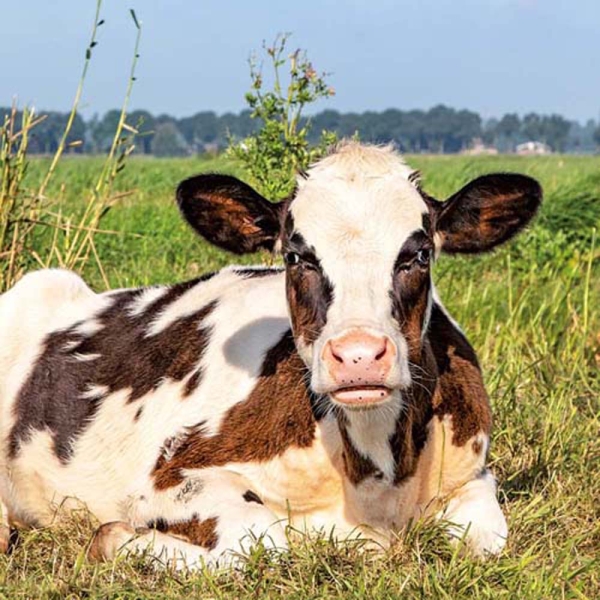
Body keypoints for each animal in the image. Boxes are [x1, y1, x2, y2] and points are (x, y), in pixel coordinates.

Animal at [0, 142, 540, 568]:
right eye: (296, 256)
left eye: (420, 253)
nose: (359, 356)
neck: (374, 479)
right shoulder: (169, 476)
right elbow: (261, 543)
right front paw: (115, 538)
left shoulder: (474, 477)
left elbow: (487, 541)